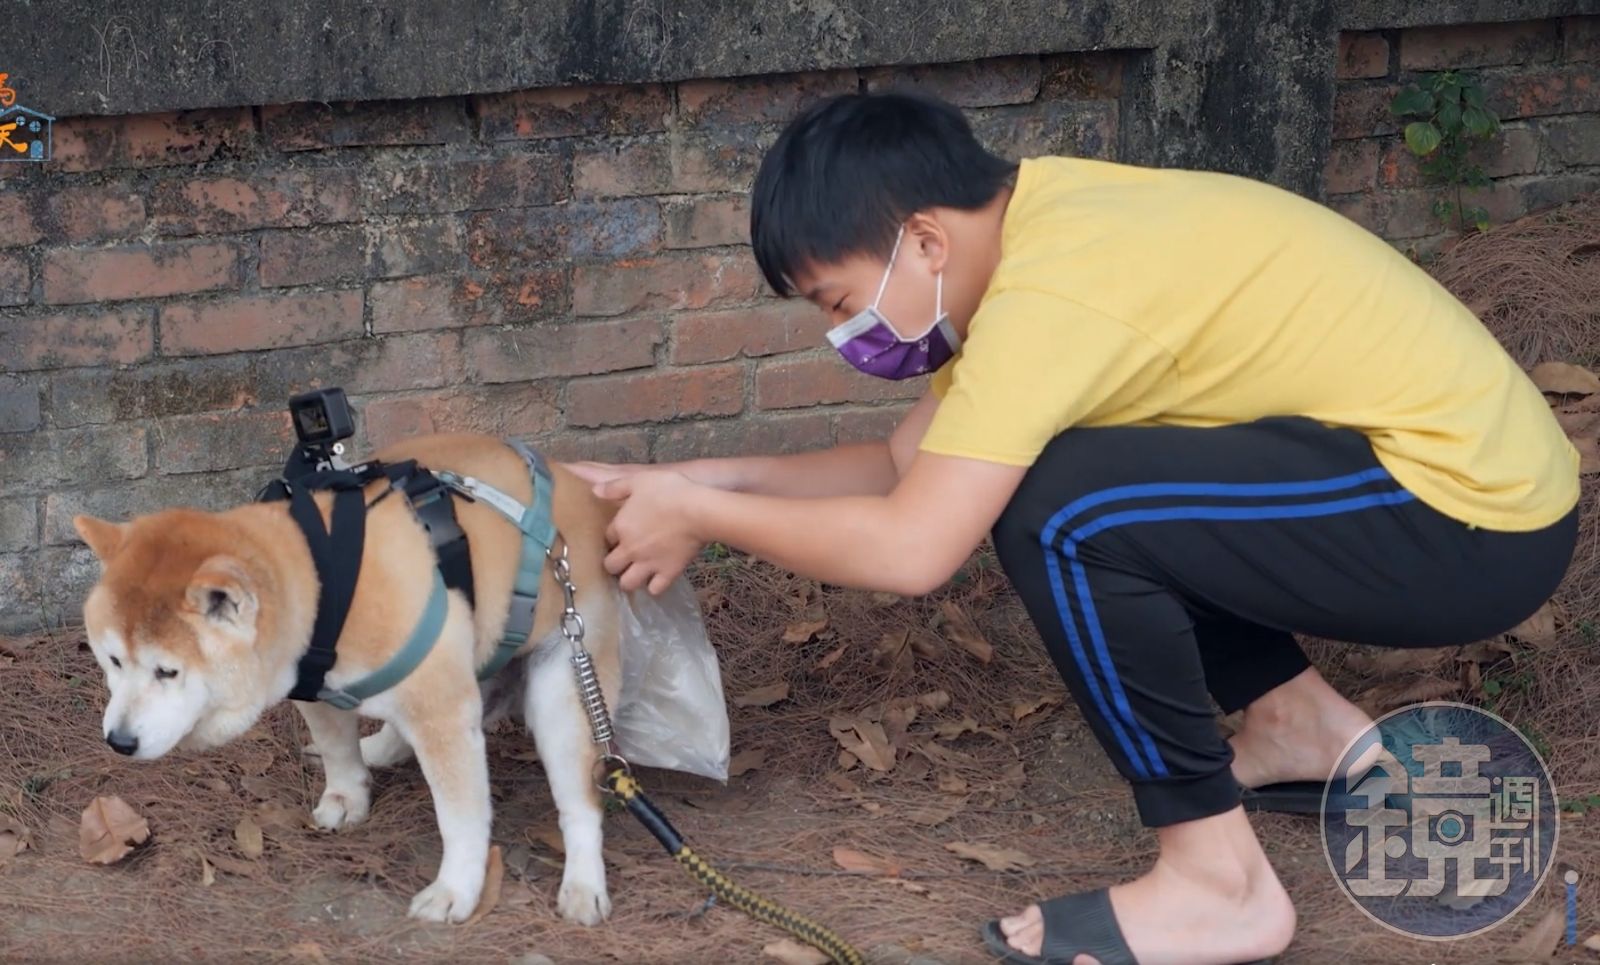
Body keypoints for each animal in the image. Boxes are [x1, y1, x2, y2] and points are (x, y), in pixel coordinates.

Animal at [73, 432, 623, 925]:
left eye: (167, 671)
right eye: (113, 661)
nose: (118, 741)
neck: (321, 584)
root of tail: (590, 498)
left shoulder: (441, 711)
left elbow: (462, 817)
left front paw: (456, 890)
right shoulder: (312, 684)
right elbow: (338, 749)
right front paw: (347, 796)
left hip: (564, 687)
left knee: (580, 804)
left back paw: (582, 884)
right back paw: (382, 747)